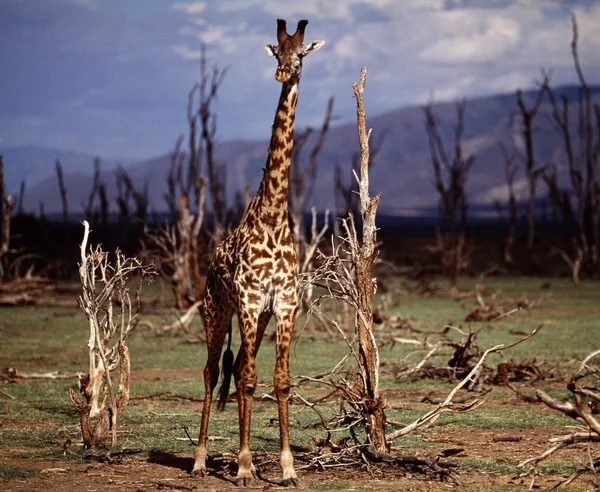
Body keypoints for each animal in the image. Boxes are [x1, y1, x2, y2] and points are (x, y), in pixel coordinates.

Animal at [191, 18, 324, 488]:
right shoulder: (248, 301)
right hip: (216, 310)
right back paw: (200, 460)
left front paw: (287, 468)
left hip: (257, 316)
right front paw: (247, 465)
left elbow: (280, 381)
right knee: (214, 371)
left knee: (235, 369)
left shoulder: (282, 303)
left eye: (300, 54)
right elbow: (248, 379)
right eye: (277, 52)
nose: (283, 73)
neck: (272, 214)